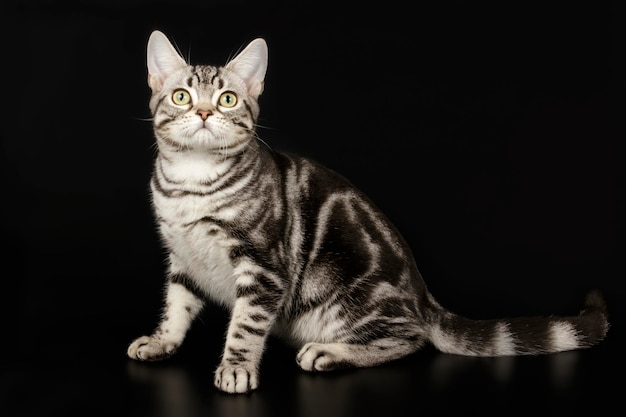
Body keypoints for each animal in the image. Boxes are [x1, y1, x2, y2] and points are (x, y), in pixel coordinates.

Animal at [124, 30, 608, 392]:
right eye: (182, 97)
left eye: (227, 99)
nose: (205, 112)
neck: (190, 185)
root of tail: (423, 297)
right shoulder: (182, 258)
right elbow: (177, 305)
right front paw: (162, 341)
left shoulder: (263, 267)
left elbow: (246, 324)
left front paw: (237, 368)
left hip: (347, 294)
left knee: (410, 339)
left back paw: (329, 352)